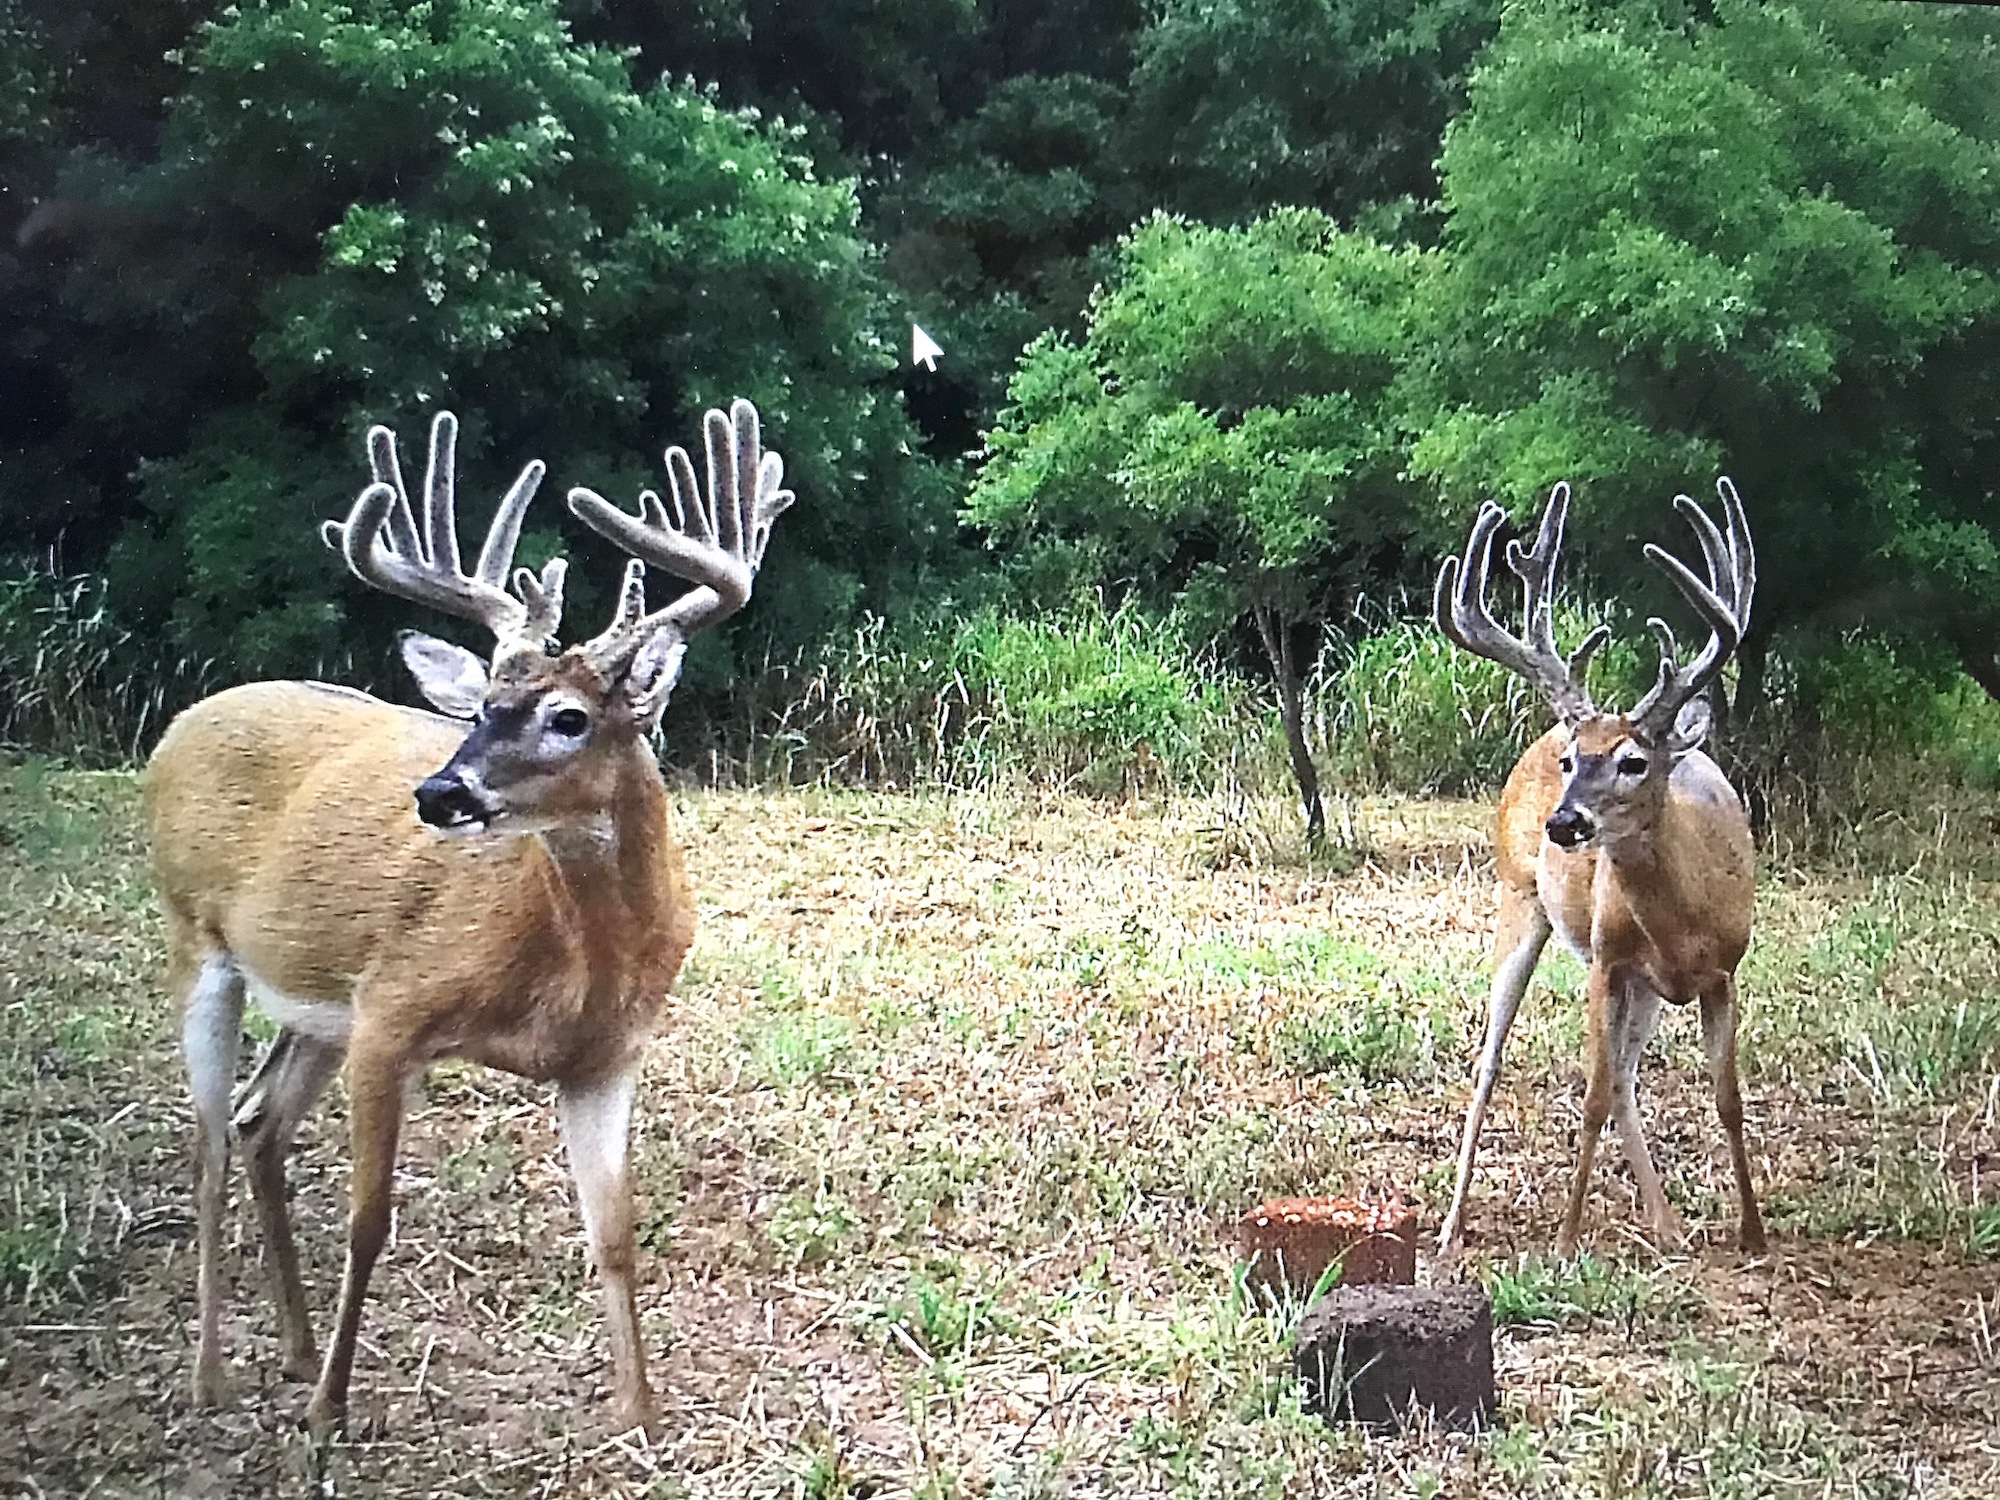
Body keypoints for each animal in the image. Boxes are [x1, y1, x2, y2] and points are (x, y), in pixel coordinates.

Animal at [144, 398, 793, 1435]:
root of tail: (185, 722)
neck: (572, 960)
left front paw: (641, 1416)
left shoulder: (606, 1056)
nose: (440, 792)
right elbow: (368, 1223)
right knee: (206, 1142)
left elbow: (615, 1230)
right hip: (196, 936)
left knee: (255, 1123)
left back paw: (292, 1349)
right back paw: (215, 1376)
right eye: (484, 704)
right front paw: (327, 1418)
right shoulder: (392, 1013)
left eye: (569, 717)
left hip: (313, 1005)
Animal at [1429, 478, 1766, 1262]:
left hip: (1644, 989)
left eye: (1634, 760)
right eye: (1571, 761)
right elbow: (1589, 1096)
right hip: (1519, 899)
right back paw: (1451, 1226)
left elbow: (1727, 1097)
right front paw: (1566, 1235)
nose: (1564, 823)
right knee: (1494, 1060)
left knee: (1629, 1076)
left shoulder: (1724, 969)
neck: (1685, 917)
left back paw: (1666, 1221)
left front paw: (1753, 1232)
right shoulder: (1607, 962)